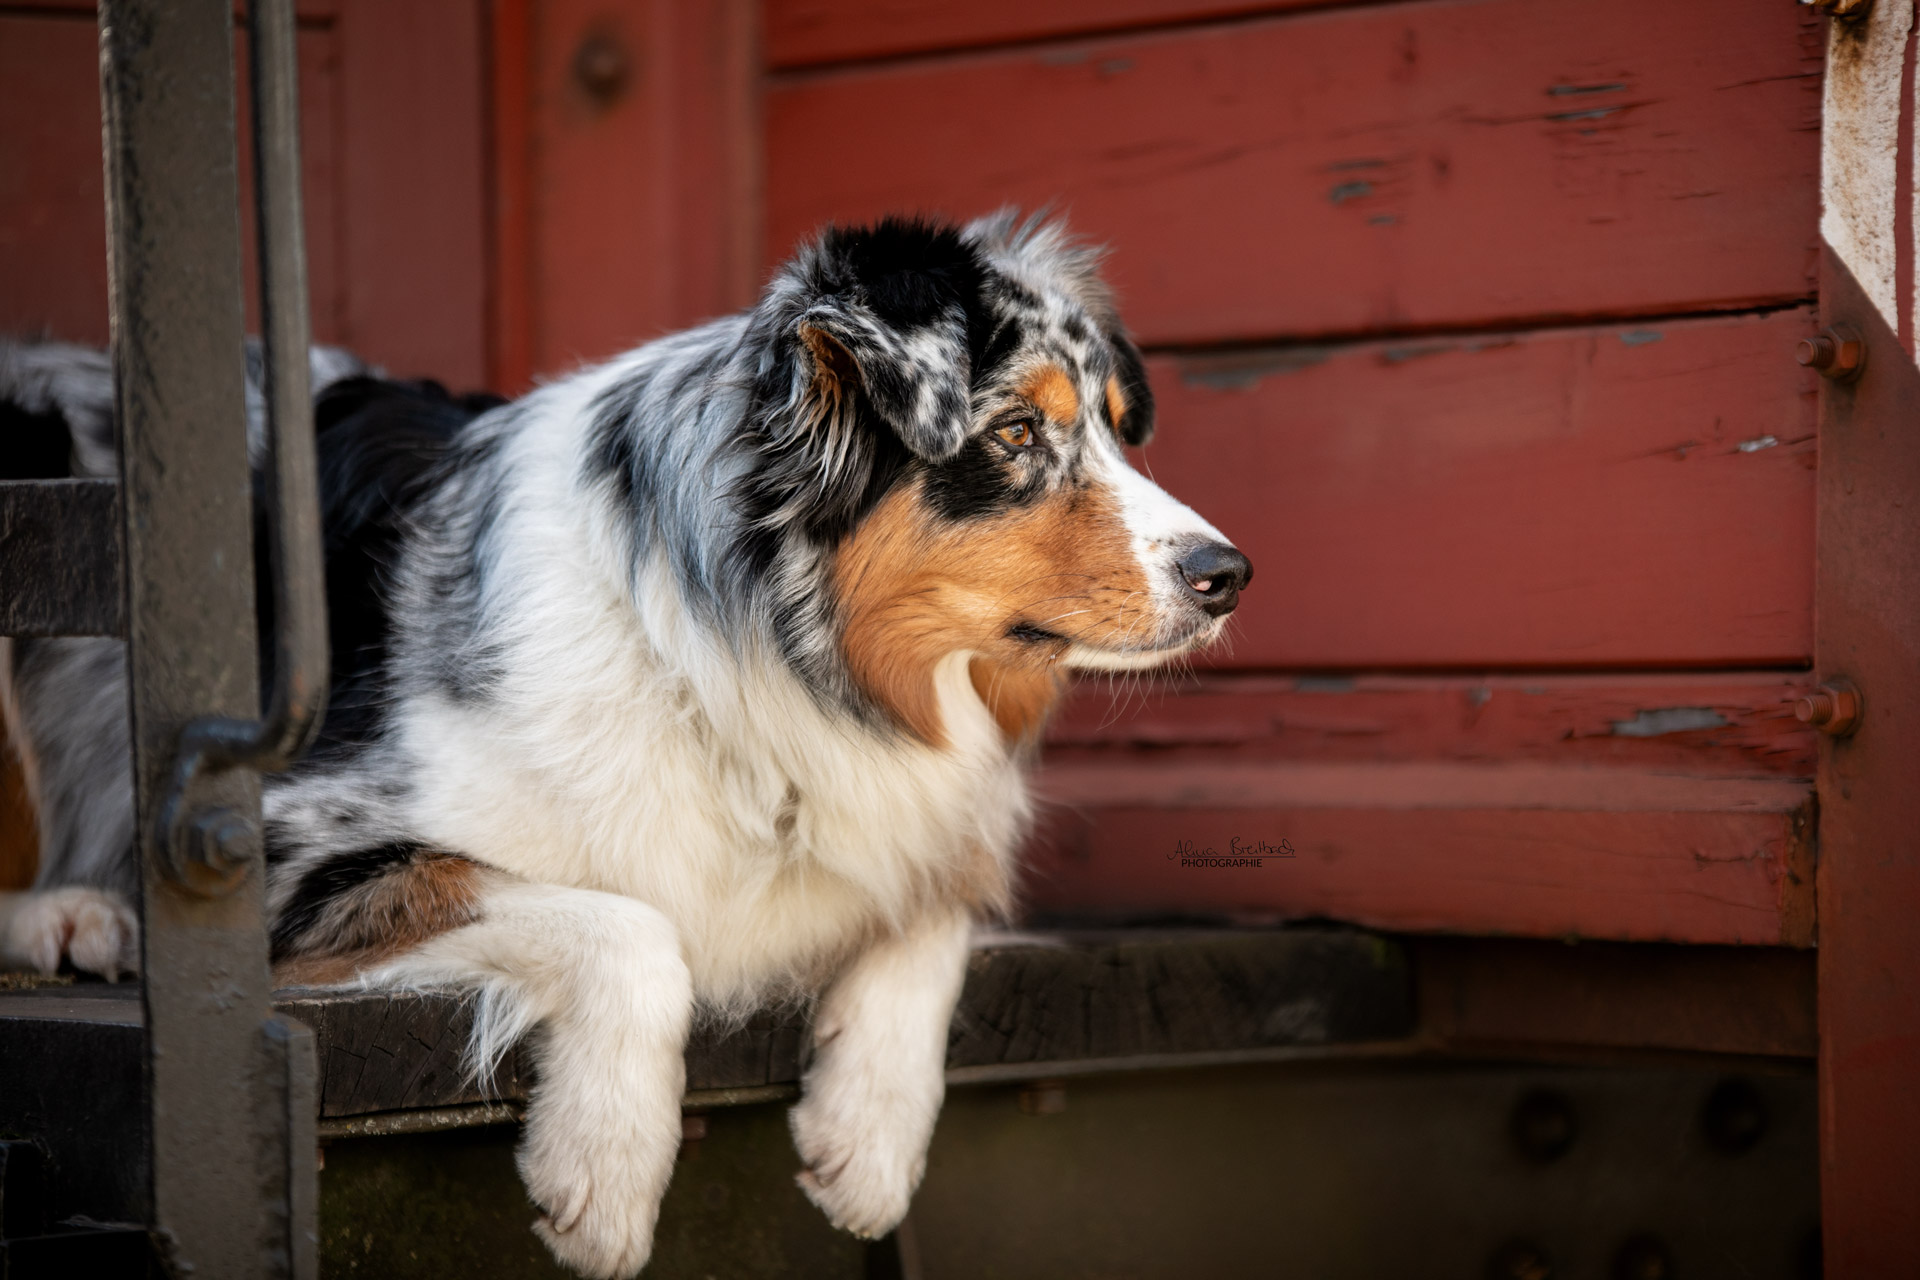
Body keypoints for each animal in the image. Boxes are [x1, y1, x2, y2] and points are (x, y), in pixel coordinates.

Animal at [0, 214, 1251, 1274]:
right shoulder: (268, 835)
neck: (741, 661)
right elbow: (633, 925)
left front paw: (871, 1134)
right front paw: (604, 1171)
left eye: (1117, 429)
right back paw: (75, 913)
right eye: (1015, 430)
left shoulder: (913, 818)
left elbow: (933, 910)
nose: (1229, 572)